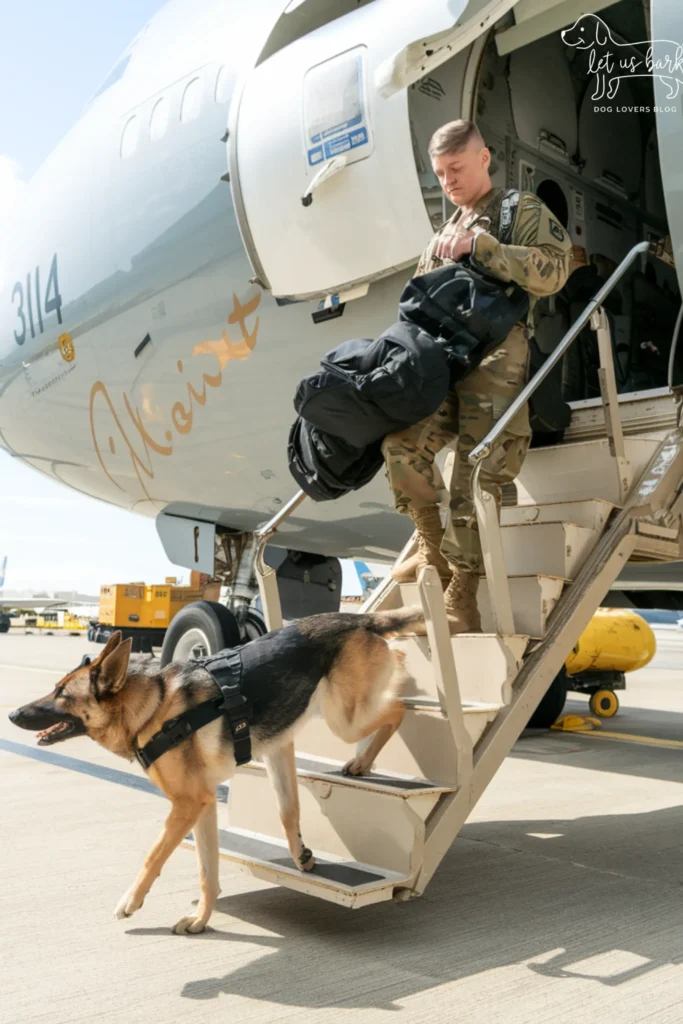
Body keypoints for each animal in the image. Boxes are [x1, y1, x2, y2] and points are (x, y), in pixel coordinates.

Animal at [9, 606, 421, 937]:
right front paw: (201, 920)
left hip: (346, 719)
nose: (12, 714)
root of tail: (358, 618)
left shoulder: (186, 806)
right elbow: (208, 871)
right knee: (289, 810)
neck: (152, 710)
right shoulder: (203, 806)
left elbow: (154, 855)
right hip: (292, 745)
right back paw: (303, 849)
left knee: (399, 706)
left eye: (62, 695)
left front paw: (131, 900)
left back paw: (367, 753)